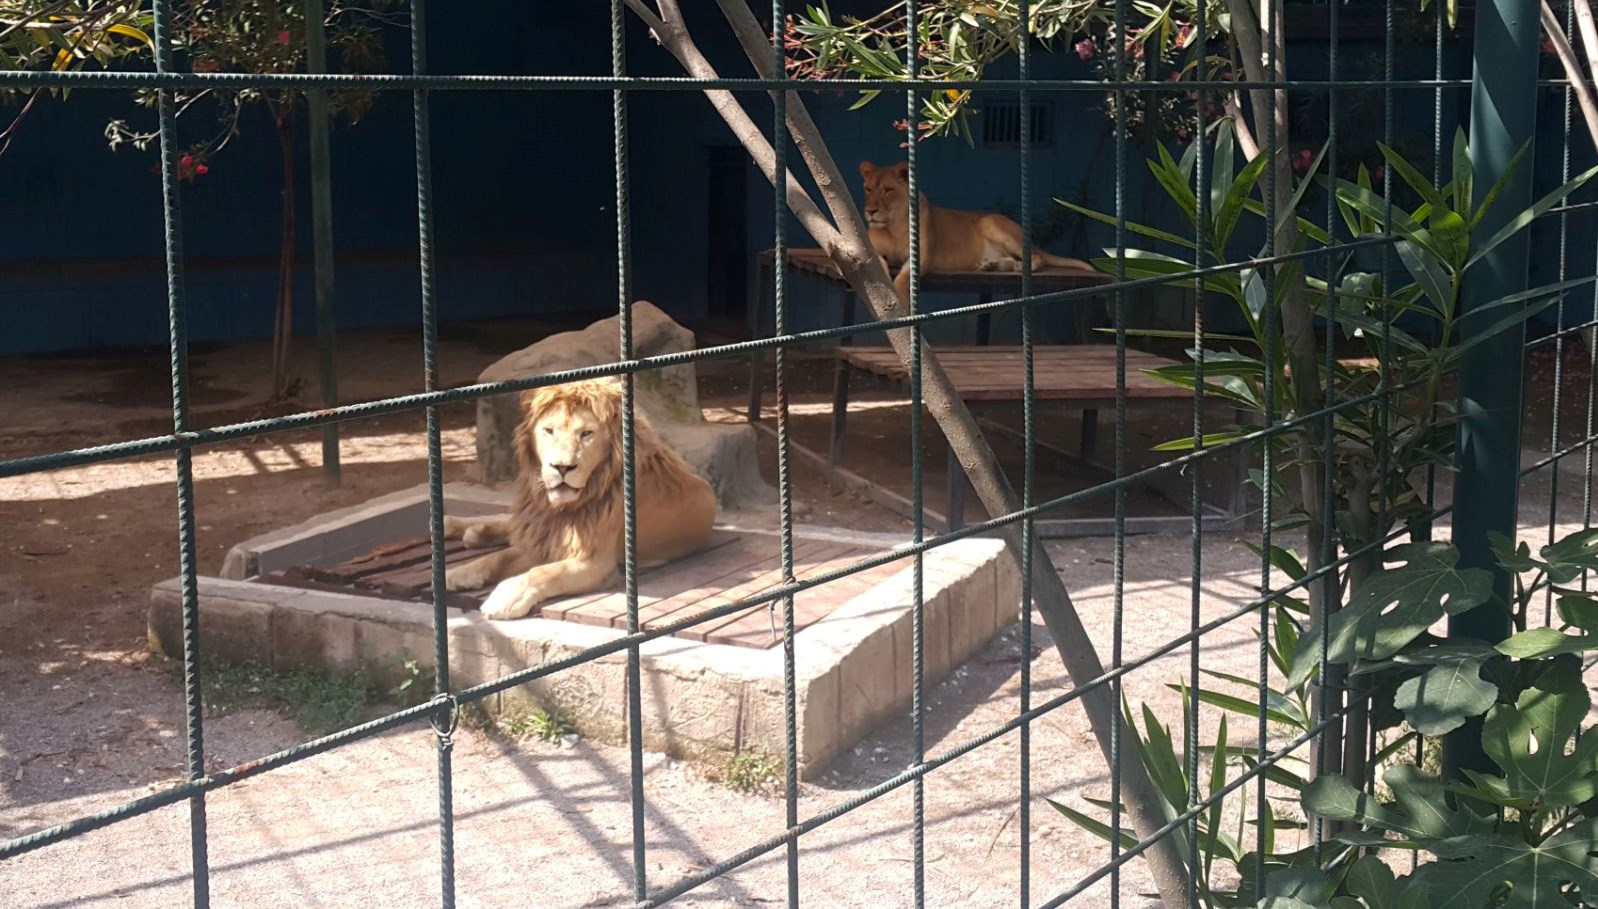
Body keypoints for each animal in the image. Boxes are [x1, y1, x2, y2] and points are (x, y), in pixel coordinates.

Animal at [444, 373, 719, 616]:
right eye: (549, 431)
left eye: (586, 434)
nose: (562, 467)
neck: (561, 508)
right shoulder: (544, 538)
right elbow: (497, 557)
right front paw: (460, 573)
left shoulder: (594, 563)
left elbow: (542, 573)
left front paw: (505, 597)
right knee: (508, 523)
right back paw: (460, 528)